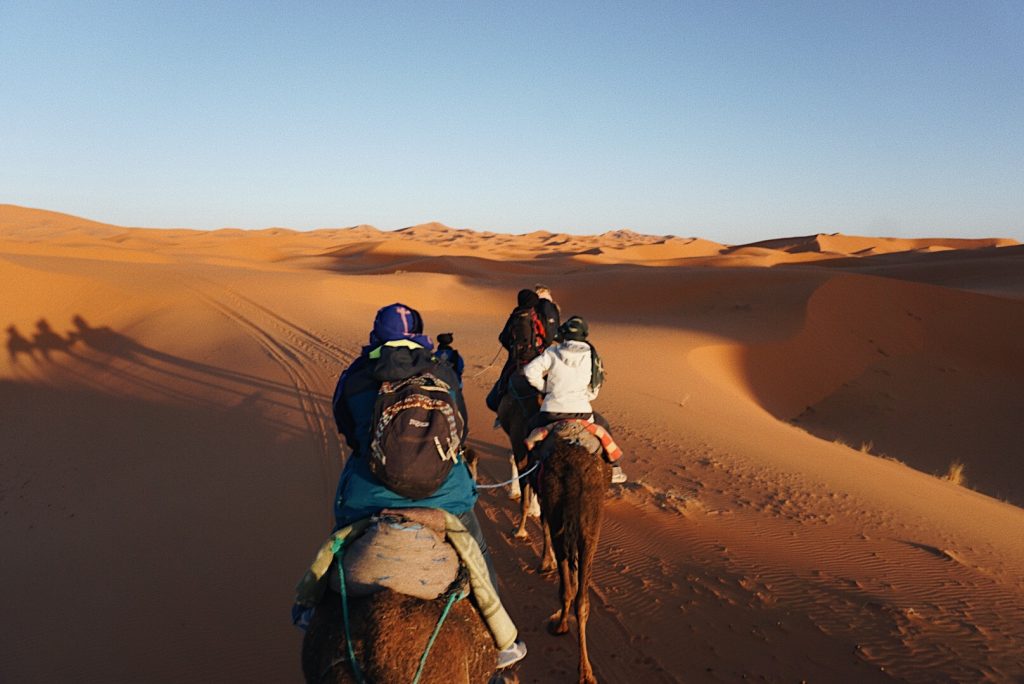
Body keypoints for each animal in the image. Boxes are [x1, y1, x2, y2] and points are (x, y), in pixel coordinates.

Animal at [532, 428, 610, 684]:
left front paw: (544, 563)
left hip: (560, 512)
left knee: (567, 587)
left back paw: (560, 626)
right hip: (590, 525)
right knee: (581, 598)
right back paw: (586, 672)